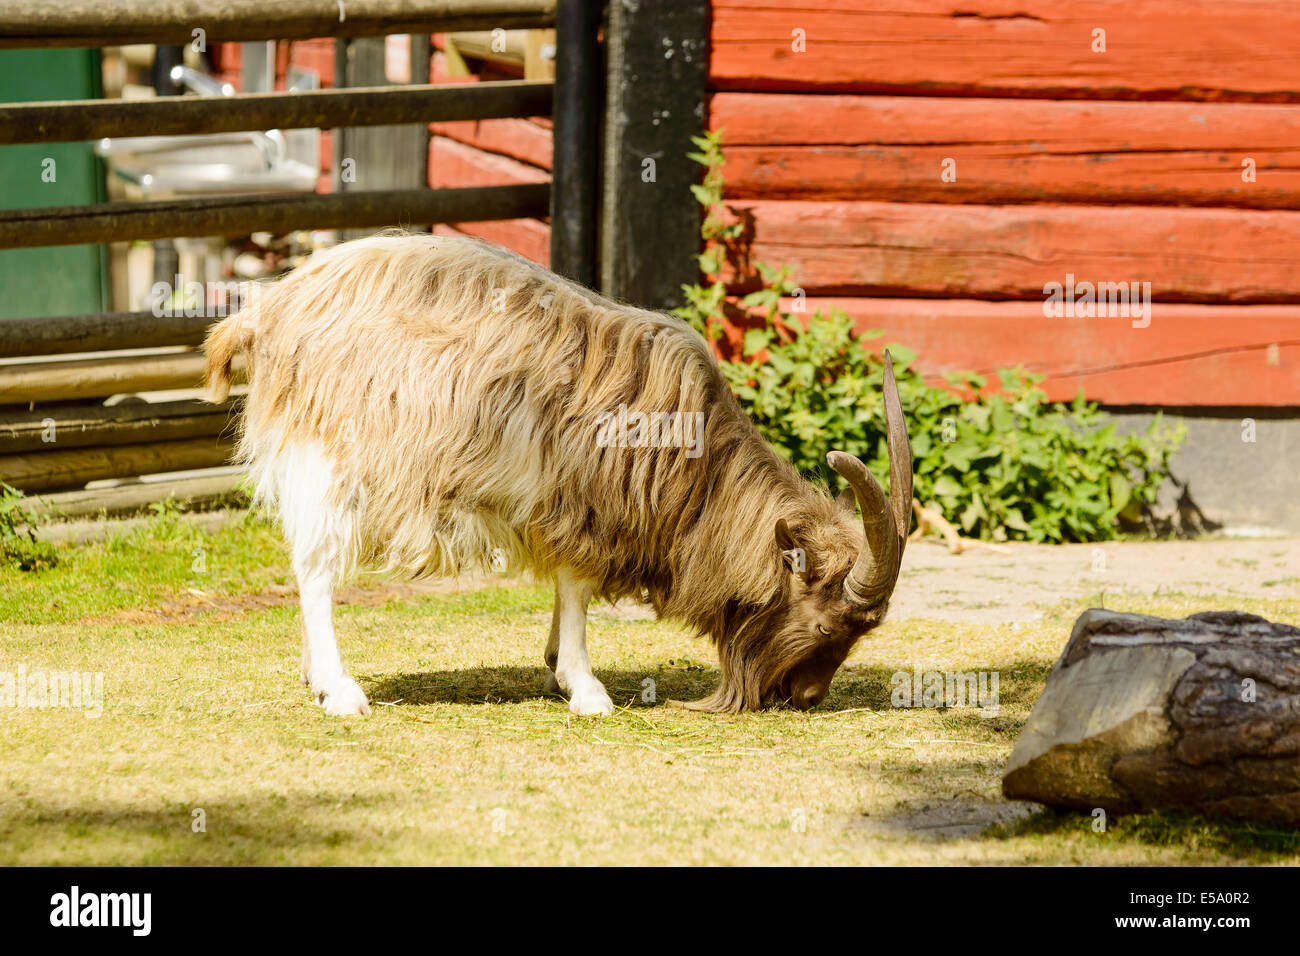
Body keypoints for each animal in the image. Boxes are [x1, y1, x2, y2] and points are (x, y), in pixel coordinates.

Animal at [202, 231, 915, 712]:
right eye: (826, 625)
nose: (807, 696)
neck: (694, 458)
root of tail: (269, 314)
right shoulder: (580, 501)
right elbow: (575, 586)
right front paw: (585, 686)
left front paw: (554, 666)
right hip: (333, 457)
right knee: (316, 567)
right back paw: (341, 690)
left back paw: (313, 676)